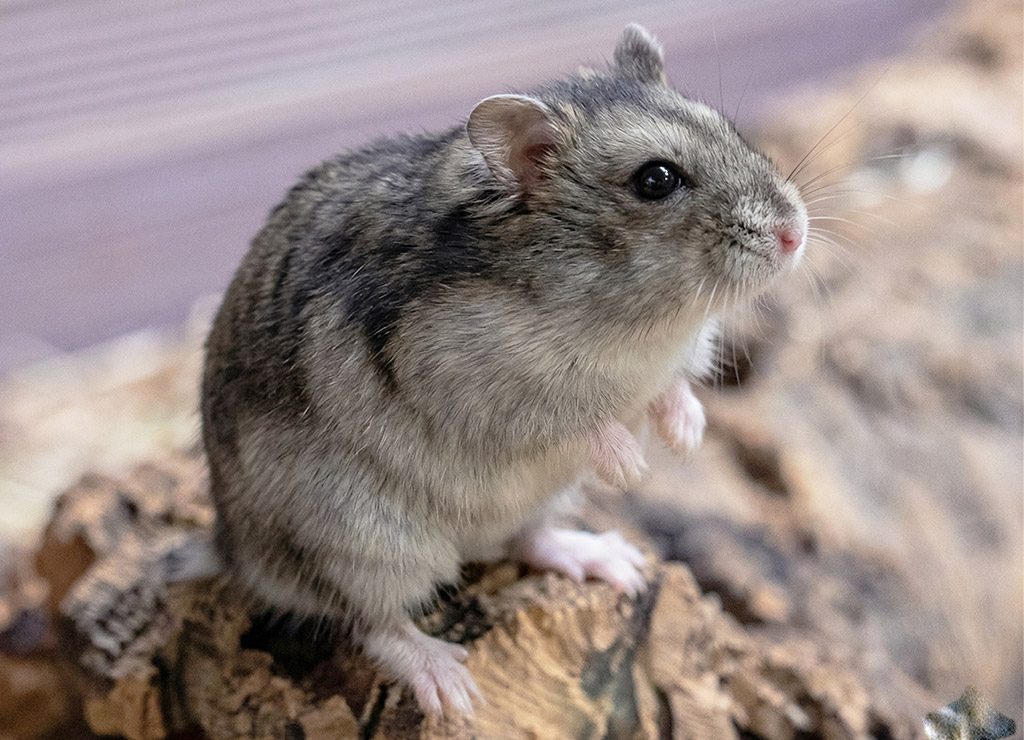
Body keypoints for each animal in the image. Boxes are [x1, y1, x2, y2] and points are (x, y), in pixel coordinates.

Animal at [201, 24, 807, 717]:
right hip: (363, 543)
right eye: (656, 179)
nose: (795, 234)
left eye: (729, 128)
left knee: (525, 540)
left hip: (535, 502)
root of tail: (228, 550)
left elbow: (672, 390)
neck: (643, 323)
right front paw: (632, 466)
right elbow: (574, 420)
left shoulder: (670, 363)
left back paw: (613, 562)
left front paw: (686, 435)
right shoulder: (472, 380)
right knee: (372, 621)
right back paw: (451, 687)